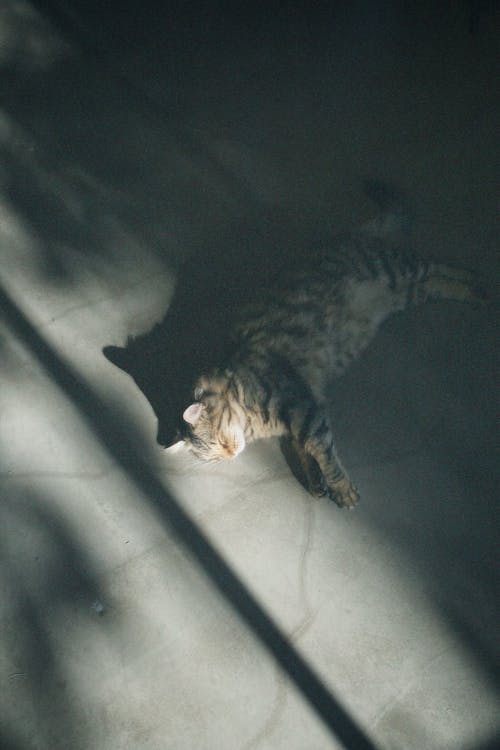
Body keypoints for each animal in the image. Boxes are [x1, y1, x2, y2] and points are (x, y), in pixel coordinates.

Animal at [106, 184, 484, 508]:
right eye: (213, 454)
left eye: (217, 442)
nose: (229, 454)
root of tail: (354, 234)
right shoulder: (303, 412)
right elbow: (304, 448)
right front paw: (316, 483)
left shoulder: (306, 408)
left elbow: (323, 451)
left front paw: (341, 489)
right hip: (405, 292)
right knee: (437, 281)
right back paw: (472, 291)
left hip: (397, 271)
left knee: (439, 265)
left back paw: (478, 284)